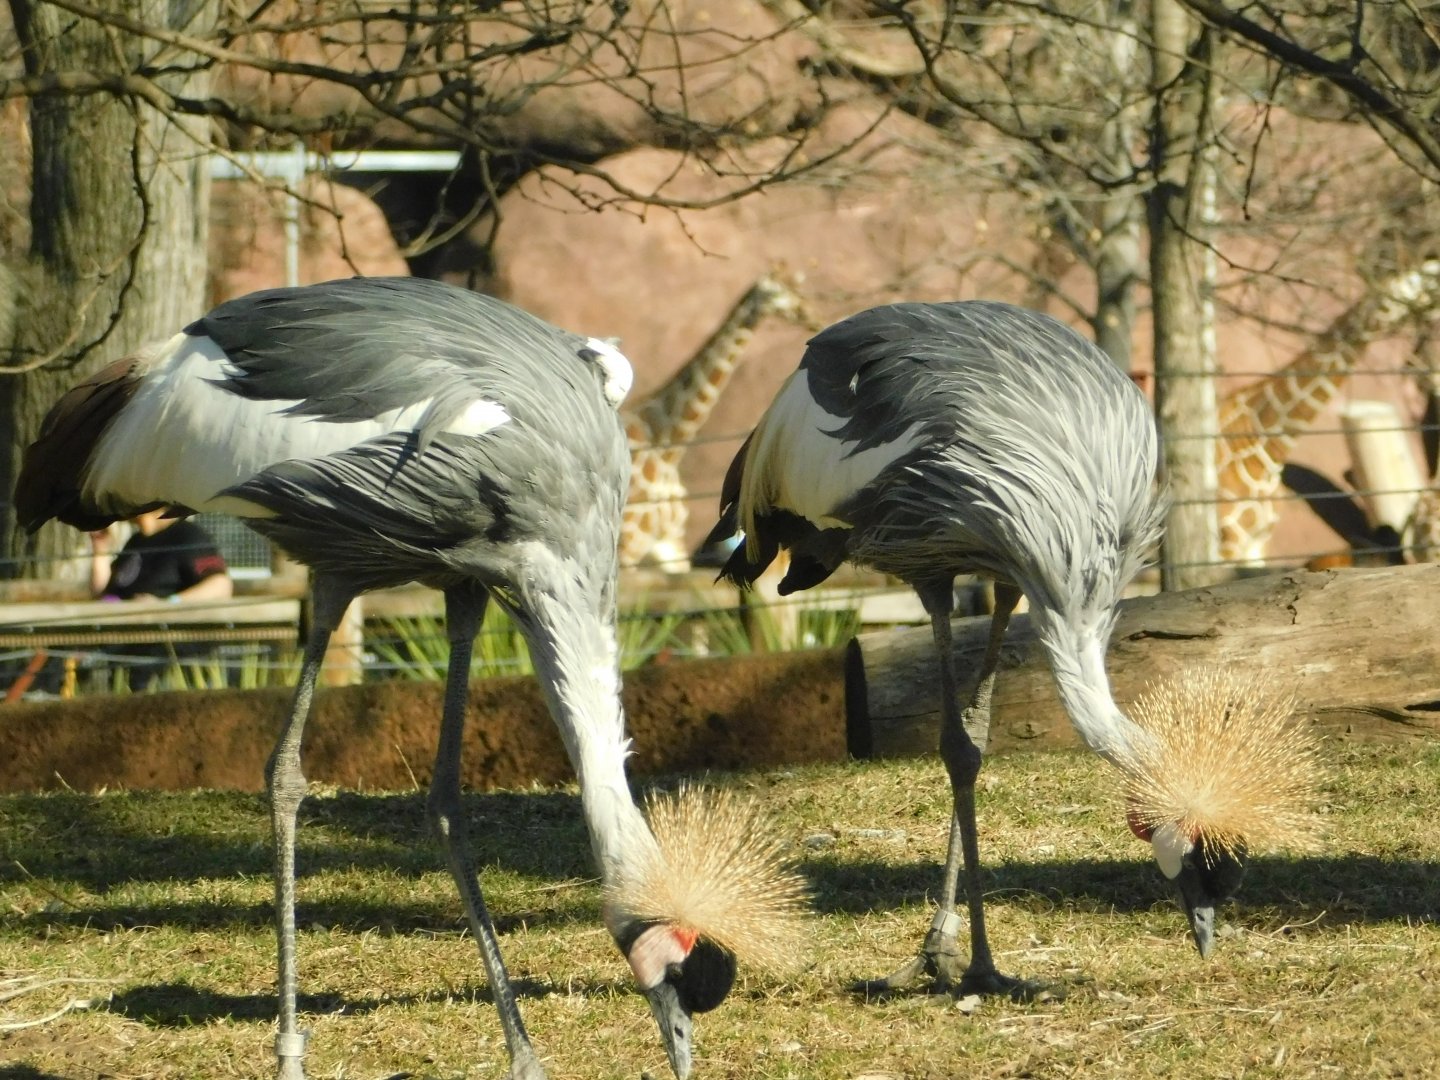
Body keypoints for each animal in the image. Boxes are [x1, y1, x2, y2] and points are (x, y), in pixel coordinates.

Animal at [620, 272, 811, 571]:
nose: (807, 313)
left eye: (797, 288)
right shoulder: (633, 538)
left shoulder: (670, 543)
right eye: (778, 292)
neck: (668, 442)